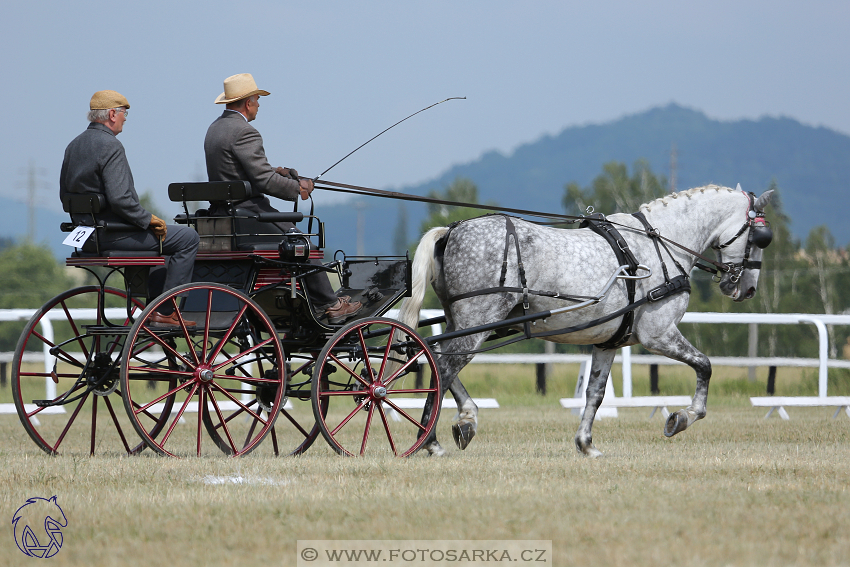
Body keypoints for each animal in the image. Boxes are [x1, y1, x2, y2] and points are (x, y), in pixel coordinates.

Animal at [396, 185, 768, 458]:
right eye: (762, 238)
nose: (748, 288)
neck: (659, 246)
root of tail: (451, 229)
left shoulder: (608, 342)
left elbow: (595, 393)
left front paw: (586, 444)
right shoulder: (658, 334)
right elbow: (704, 365)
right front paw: (681, 418)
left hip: (464, 321)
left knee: (437, 358)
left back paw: (466, 420)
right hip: (478, 320)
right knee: (445, 367)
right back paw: (430, 440)